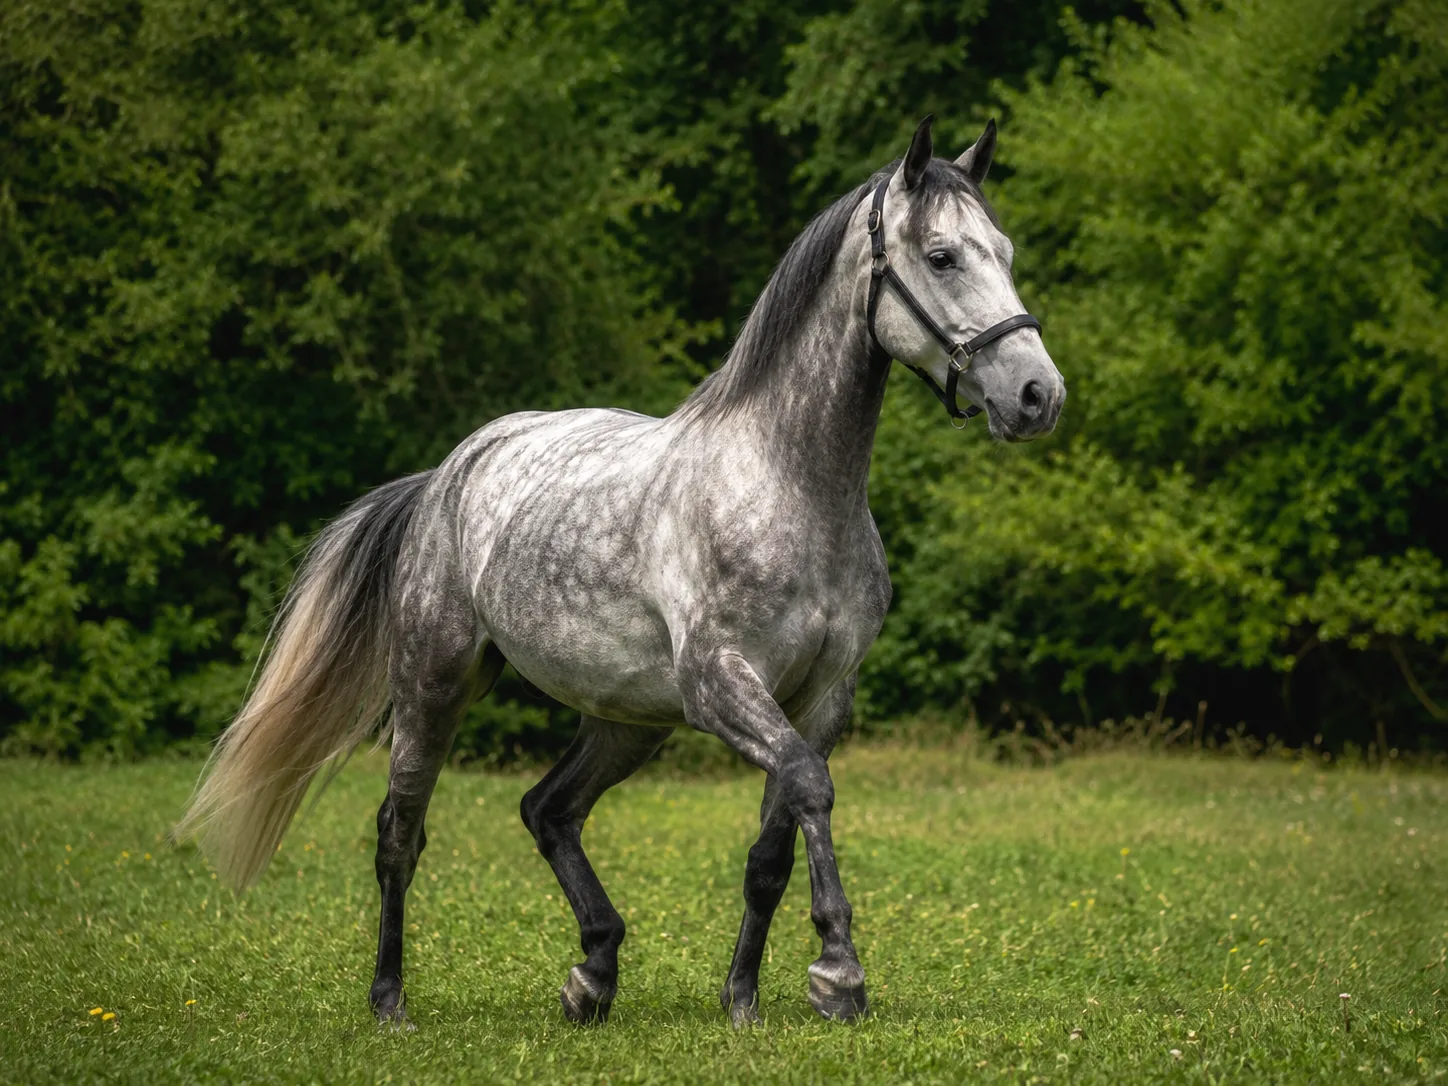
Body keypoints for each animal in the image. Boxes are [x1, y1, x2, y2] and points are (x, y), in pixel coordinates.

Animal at [175, 115, 1065, 1029]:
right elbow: (811, 792)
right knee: (401, 832)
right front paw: (837, 971)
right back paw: (391, 999)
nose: (1039, 396)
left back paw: (593, 974)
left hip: (626, 721)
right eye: (942, 257)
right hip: (434, 682)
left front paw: (743, 1000)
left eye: (1005, 251)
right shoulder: (722, 685)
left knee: (548, 809)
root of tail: (448, 473)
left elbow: (771, 850)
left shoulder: (819, 702)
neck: (790, 485)